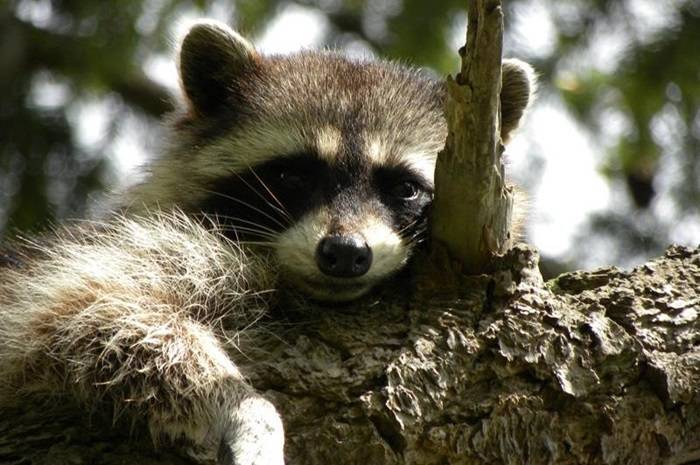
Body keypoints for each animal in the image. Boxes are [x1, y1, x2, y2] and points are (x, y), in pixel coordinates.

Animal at [0, 20, 534, 465]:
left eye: (403, 187)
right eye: (291, 175)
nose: (346, 254)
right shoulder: (113, 254)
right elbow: (92, 309)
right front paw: (243, 408)